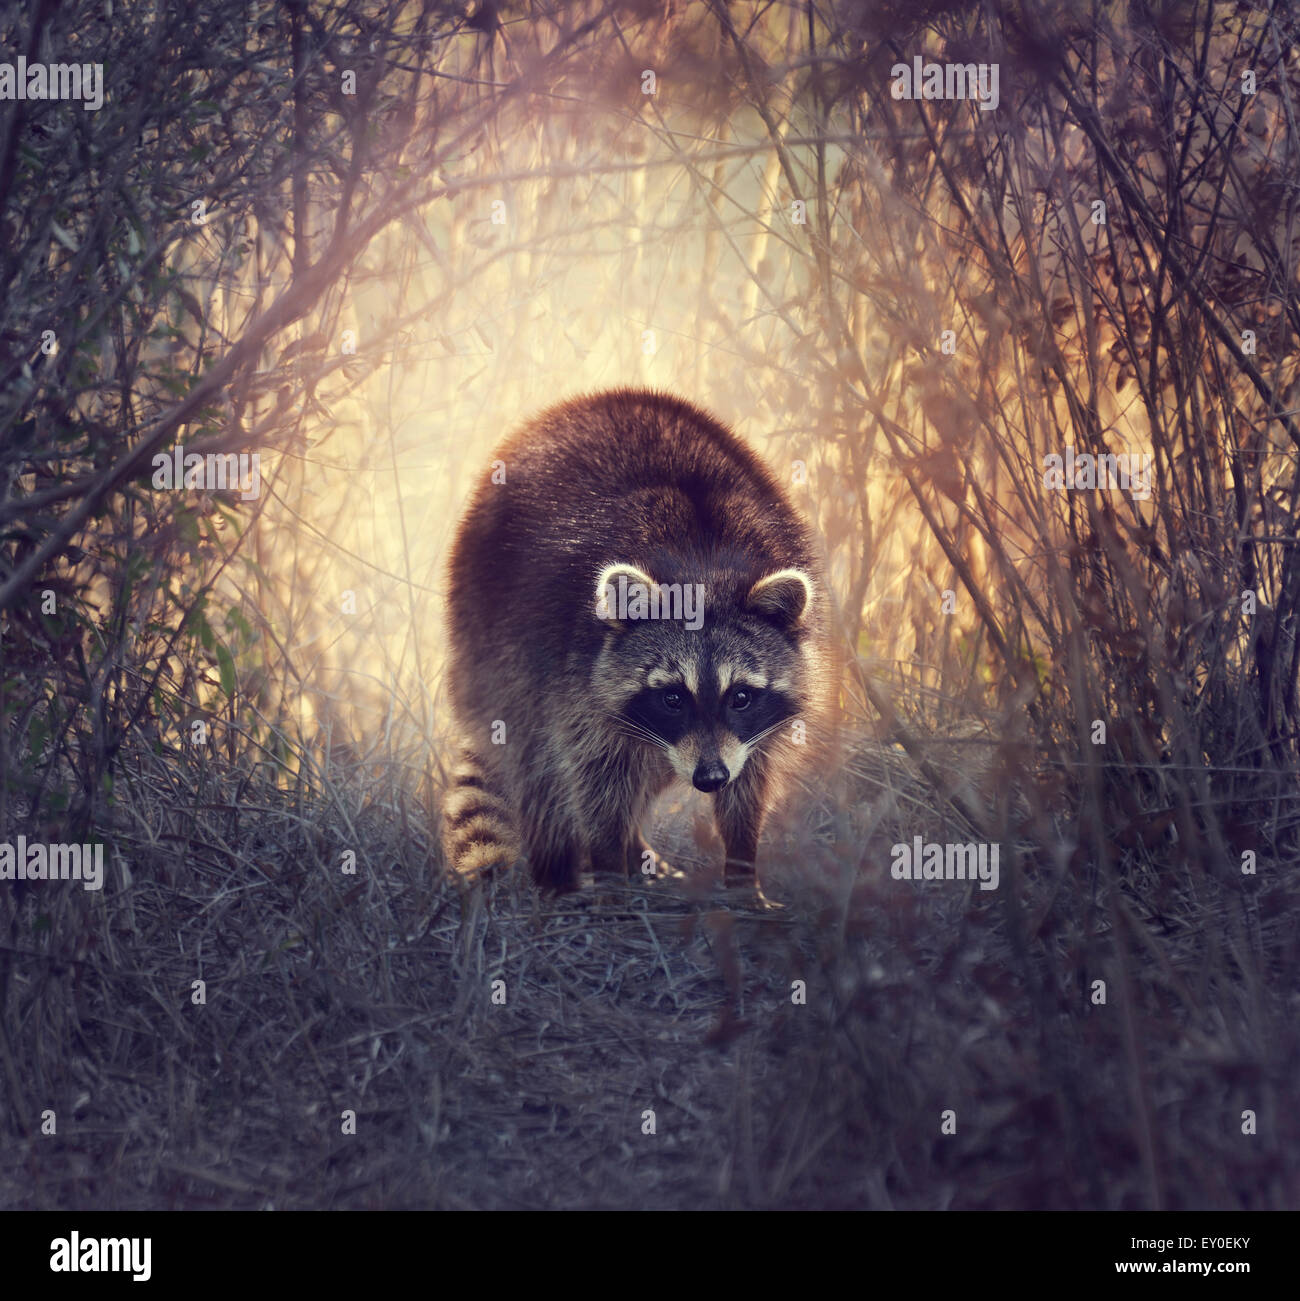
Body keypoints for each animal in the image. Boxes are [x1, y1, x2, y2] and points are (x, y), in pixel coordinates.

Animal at [445, 385, 832, 895]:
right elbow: (593, 772)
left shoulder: (751, 727)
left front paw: (742, 866)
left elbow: (751, 778)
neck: (702, 567)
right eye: (672, 697)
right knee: (538, 762)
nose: (710, 777)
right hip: (490, 633)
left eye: (741, 697)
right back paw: (559, 873)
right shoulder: (570, 665)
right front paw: (610, 865)